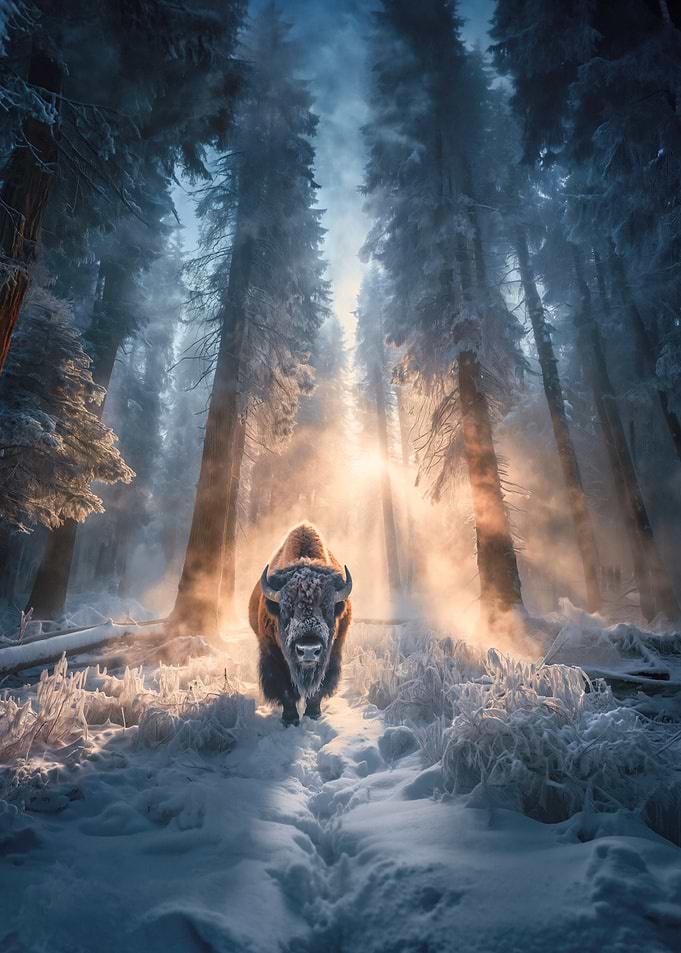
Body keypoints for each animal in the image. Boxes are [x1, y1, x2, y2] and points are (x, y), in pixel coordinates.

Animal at [248, 522, 352, 725]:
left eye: (327, 609)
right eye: (286, 609)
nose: (309, 650)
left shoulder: (331, 655)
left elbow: (318, 689)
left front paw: (313, 714)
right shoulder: (273, 657)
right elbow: (285, 689)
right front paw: (290, 719)